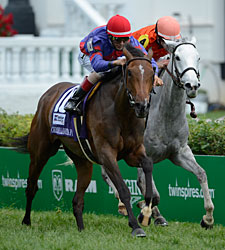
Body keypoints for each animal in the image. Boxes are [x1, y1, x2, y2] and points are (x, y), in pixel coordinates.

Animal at [14, 44, 156, 237]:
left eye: (152, 73)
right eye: (130, 73)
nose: (142, 106)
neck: (122, 113)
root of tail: (49, 93)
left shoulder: (133, 152)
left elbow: (148, 164)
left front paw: (146, 211)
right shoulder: (106, 153)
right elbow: (123, 189)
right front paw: (135, 225)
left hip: (82, 161)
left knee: (77, 200)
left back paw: (81, 228)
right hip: (40, 152)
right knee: (31, 186)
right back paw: (26, 221)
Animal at [102, 37, 214, 229]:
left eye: (198, 57)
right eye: (177, 57)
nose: (192, 85)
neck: (166, 115)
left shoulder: (180, 152)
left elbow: (201, 173)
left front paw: (207, 218)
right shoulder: (143, 155)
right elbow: (151, 191)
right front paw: (143, 211)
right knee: (107, 173)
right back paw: (125, 204)